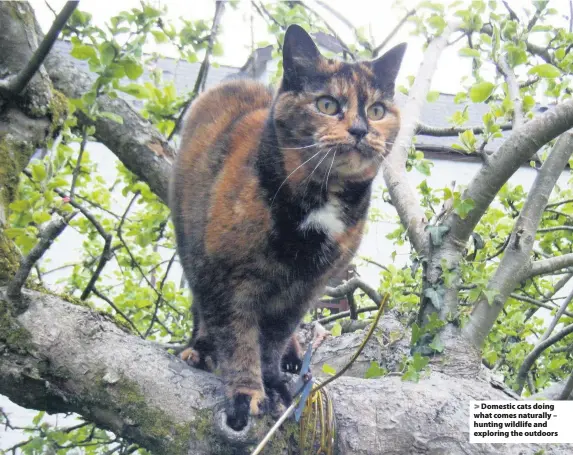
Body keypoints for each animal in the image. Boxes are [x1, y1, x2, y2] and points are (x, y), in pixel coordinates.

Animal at [170, 25, 406, 432]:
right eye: (327, 105)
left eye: (377, 111)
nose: (360, 129)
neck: (321, 199)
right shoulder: (225, 277)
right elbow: (238, 339)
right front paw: (246, 393)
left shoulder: (303, 290)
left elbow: (272, 341)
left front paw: (274, 381)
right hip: (192, 245)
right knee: (201, 309)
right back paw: (198, 348)